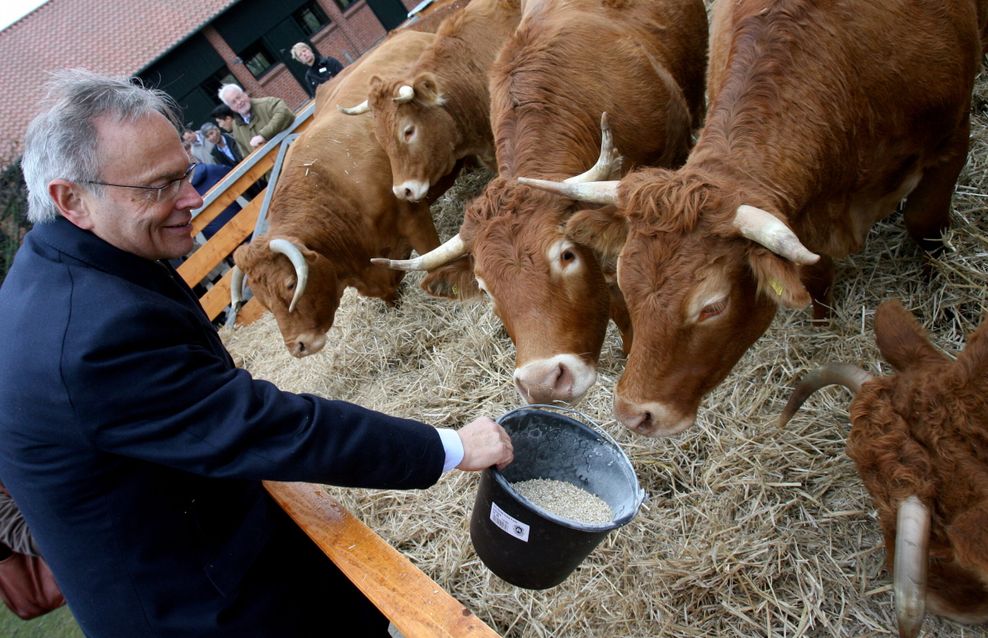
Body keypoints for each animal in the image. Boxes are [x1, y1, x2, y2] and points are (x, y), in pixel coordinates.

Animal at [520, 0, 984, 438]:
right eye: (625, 284)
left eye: (713, 306)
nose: (635, 414)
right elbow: (815, 273)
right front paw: (822, 326)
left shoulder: (952, 137)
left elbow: (925, 223)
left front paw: (938, 295)